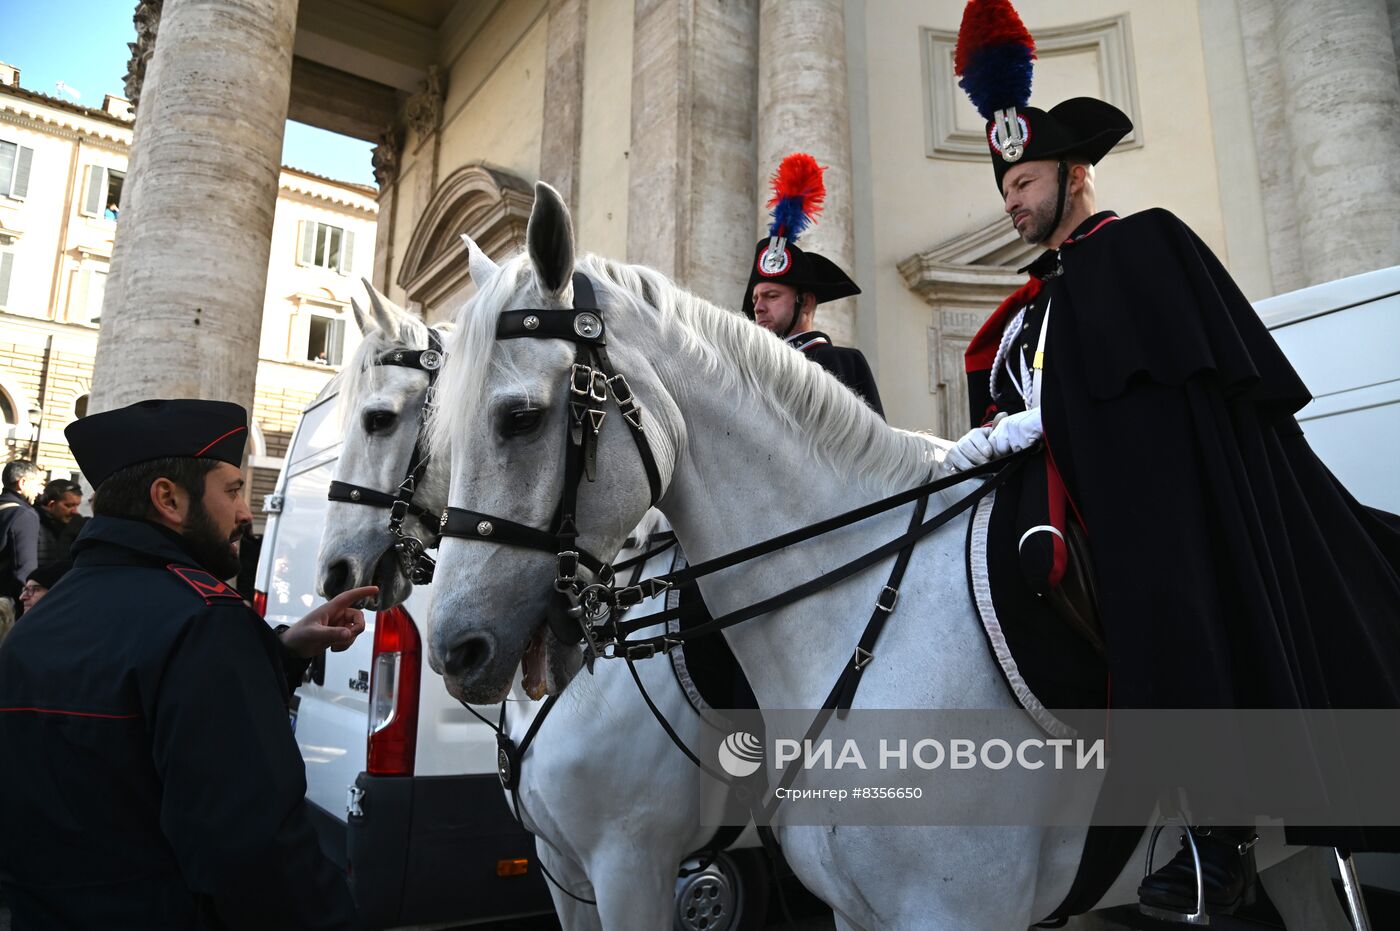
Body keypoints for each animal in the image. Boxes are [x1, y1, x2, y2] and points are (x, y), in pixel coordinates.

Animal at [422, 183, 1355, 929]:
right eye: (437, 432)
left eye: (519, 417)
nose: (456, 649)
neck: (855, 619)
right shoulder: (578, 875)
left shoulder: (638, 863)